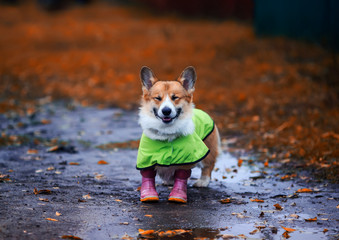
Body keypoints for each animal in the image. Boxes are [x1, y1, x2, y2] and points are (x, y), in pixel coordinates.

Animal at [137, 65, 222, 202]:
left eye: (175, 97)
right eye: (158, 98)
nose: (166, 111)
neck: (166, 132)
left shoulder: (187, 159)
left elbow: (182, 176)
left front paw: (178, 194)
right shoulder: (146, 157)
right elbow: (148, 175)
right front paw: (148, 194)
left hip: (208, 149)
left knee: (208, 166)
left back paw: (203, 181)